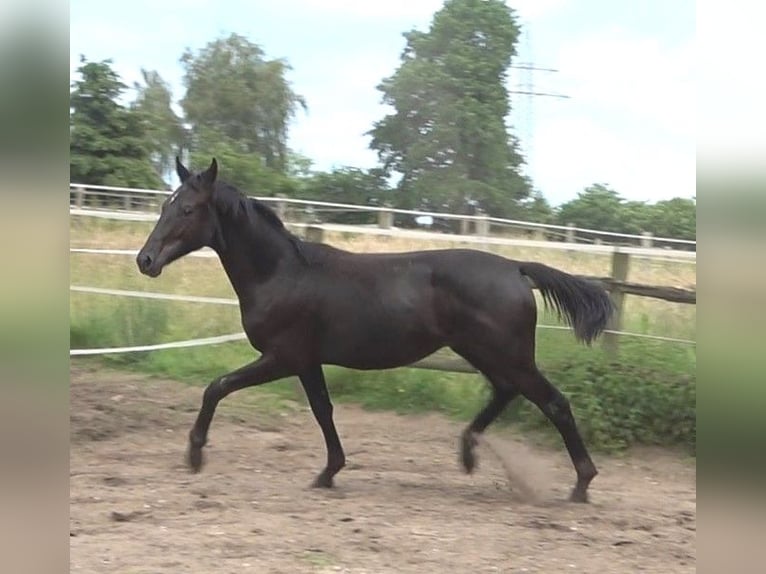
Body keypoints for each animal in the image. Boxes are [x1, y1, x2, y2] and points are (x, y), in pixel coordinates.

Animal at [138, 158, 616, 504]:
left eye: (186, 209)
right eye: (163, 206)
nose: (145, 260)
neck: (281, 273)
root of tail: (516, 268)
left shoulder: (283, 356)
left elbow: (217, 387)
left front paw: (194, 454)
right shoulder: (308, 361)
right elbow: (323, 410)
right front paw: (328, 472)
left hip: (507, 354)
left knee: (554, 403)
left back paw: (581, 484)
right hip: (482, 352)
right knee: (505, 391)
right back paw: (467, 454)